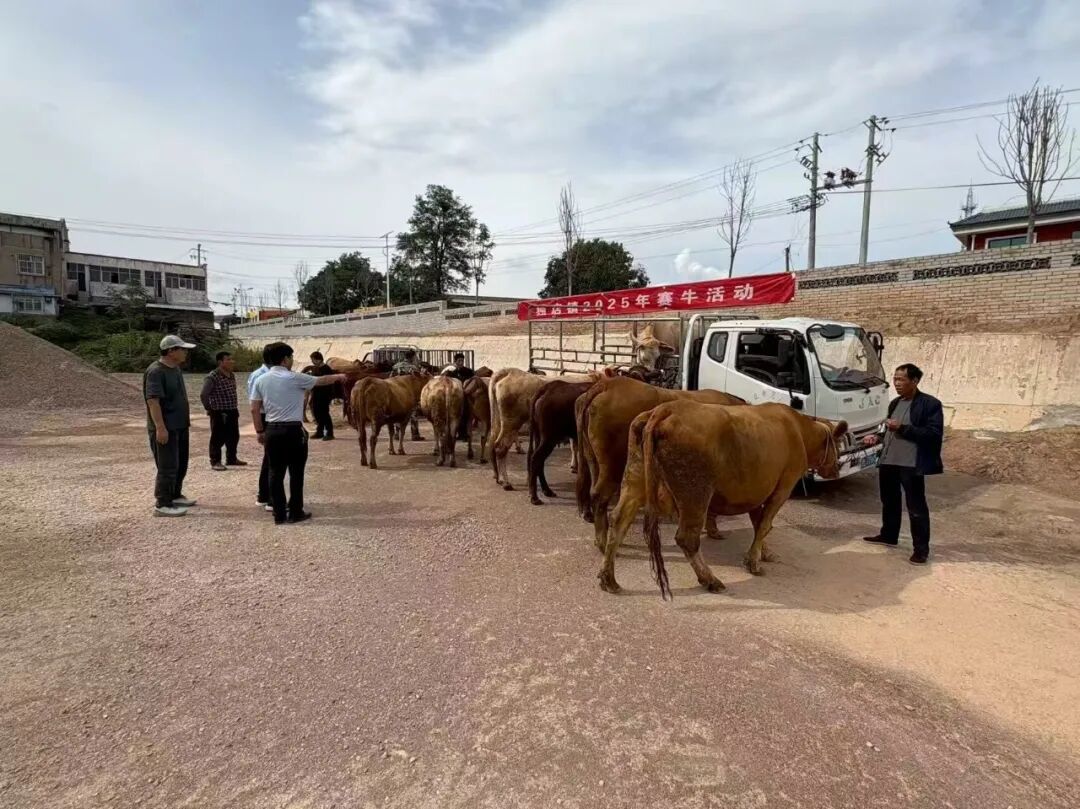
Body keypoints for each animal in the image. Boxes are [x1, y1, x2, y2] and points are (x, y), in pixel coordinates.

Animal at [574, 376, 744, 550]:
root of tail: (609, 383)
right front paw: (713, 531)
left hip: (592, 458)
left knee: (593, 489)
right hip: (613, 465)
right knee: (599, 495)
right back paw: (603, 543)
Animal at [599, 401, 847, 598]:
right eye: (838, 444)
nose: (836, 468)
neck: (800, 431)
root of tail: (664, 409)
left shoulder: (755, 492)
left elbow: (759, 524)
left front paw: (763, 553)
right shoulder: (783, 487)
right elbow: (765, 524)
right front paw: (753, 562)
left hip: (634, 479)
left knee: (618, 521)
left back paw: (608, 579)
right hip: (695, 493)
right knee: (687, 538)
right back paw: (710, 579)